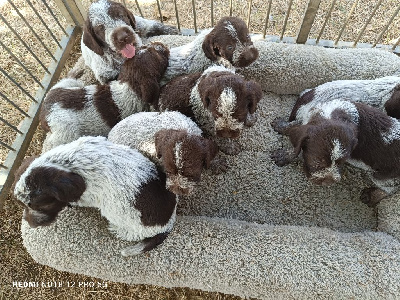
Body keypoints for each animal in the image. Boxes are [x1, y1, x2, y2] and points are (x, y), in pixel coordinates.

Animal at [41, 42, 169, 152]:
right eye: (156, 54)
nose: (161, 44)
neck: (129, 85)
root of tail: (45, 112)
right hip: (65, 135)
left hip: (68, 85)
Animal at [270, 97, 400, 207]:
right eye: (318, 162)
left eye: (341, 162)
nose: (328, 182)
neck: (333, 115)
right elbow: (295, 126)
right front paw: (282, 126)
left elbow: (296, 149)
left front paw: (284, 156)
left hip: (382, 175)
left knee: (391, 189)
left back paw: (371, 196)